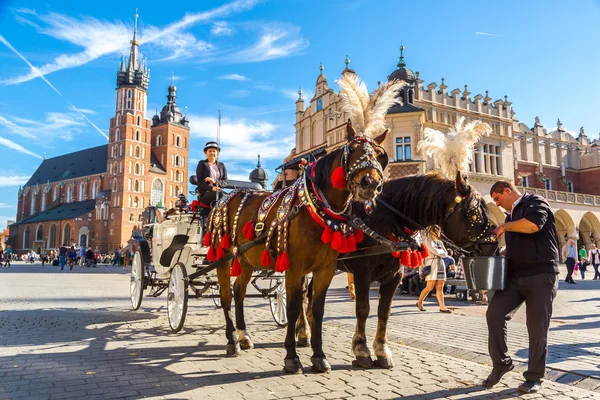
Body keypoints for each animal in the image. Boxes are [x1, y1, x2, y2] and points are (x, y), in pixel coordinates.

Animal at [211, 123, 390, 374]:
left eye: (378, 155)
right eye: (352, 149)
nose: (370, 183)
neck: (314, 208)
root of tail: (225, 197)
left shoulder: (325, 269)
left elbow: (317, 310)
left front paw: (319, 356)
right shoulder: (294, 269)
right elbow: (294, 308)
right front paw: (292, 357)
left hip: (246, 260)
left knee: (239, 292)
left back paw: (244, 336)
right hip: (225, 257)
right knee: (226, 295)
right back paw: (232, 341)